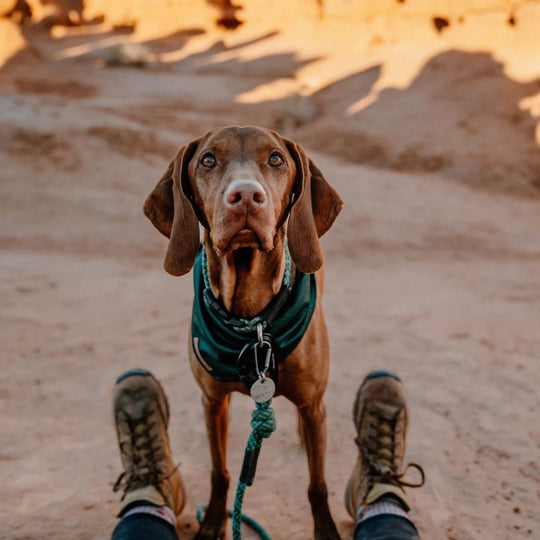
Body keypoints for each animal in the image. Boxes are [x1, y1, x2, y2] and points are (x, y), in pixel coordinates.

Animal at [144, 126, 342, 540]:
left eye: (276, 159)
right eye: (207, 160)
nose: (246, 196)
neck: (254, 322)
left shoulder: (312, 404)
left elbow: (317, 484)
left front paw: (327, 529)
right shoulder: (212, 401)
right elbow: (220, 473)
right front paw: (212, 523)